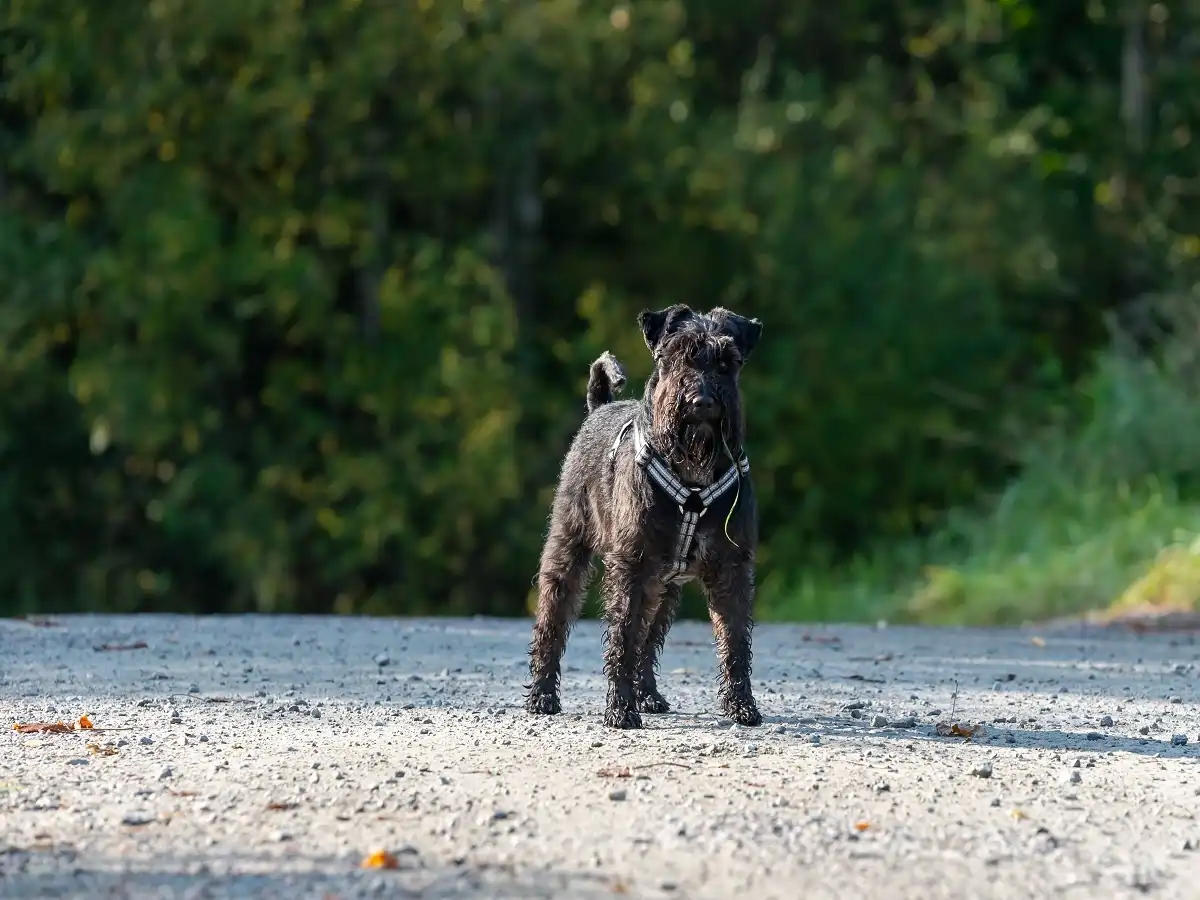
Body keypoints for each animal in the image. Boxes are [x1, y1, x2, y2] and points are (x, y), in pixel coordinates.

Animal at [523, 307, 758, 729]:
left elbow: (733, 638)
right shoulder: (632, 565)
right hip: (568, 550)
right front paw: (619, 709)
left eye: (727, 362)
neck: (692, 476)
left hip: (664, 587)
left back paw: (647, 694)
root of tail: (600, 406)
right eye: (674, 355)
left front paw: (741, 704)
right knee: (553, 620)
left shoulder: (732, 566)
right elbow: (623, 635)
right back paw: (542, 695)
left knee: (649, 641)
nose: (702, 401)